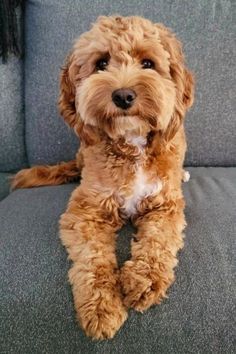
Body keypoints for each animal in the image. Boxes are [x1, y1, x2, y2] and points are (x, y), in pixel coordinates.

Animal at [12, 15, 195, 340]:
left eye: (148, 63)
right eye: (101, 63)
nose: (123, 95)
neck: (131, 144)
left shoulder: (165, 206)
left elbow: (158, 242)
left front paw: (144, 282)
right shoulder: (87, 211)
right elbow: (92, 259)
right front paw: (101, 308)